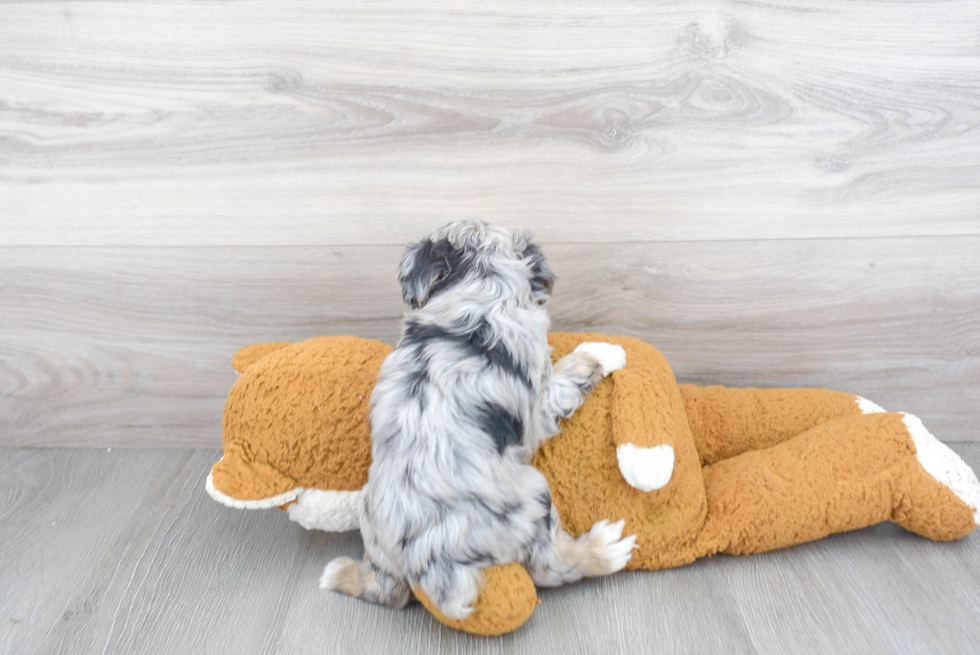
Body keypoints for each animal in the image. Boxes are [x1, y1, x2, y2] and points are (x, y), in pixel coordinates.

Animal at [322, 219, 636, 620]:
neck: (481, 289)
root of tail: (423, 560)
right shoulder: (541, 399)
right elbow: (569, 373)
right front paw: (604, 351)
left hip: (373, 530)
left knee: (387, 592)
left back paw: (339, 573)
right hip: (531, 496)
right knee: (549, 566)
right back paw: (605, 549)